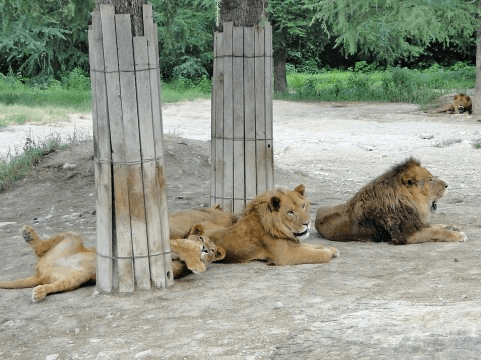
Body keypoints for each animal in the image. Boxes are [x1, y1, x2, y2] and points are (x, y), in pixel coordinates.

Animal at [0, 225, 225, 300]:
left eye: (213, 250)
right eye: (201, 238)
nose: (206, 249)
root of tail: (40, 273)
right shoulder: (162, 243)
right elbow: (185, 249)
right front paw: (198, 264)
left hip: (74, 279)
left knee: (50, 284)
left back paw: (39, 293)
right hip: (72, 236)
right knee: (39, 248)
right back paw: (27, 232)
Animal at [189, 184, 340, 266]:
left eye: (303, 206)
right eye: (290, 212)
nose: (307, 223)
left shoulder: (293, 244)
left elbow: (312, 246)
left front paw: (332, 249)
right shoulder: (285, 256)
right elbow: (317, 254)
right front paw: (328, 252)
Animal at [314, 158, 466, 245]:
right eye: (430, 179)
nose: (447, 185)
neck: (409, 202)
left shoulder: (415, 223)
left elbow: (434, 226)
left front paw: (451, 227)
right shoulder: (405, 235)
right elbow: (435, 232)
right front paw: (457, 235)